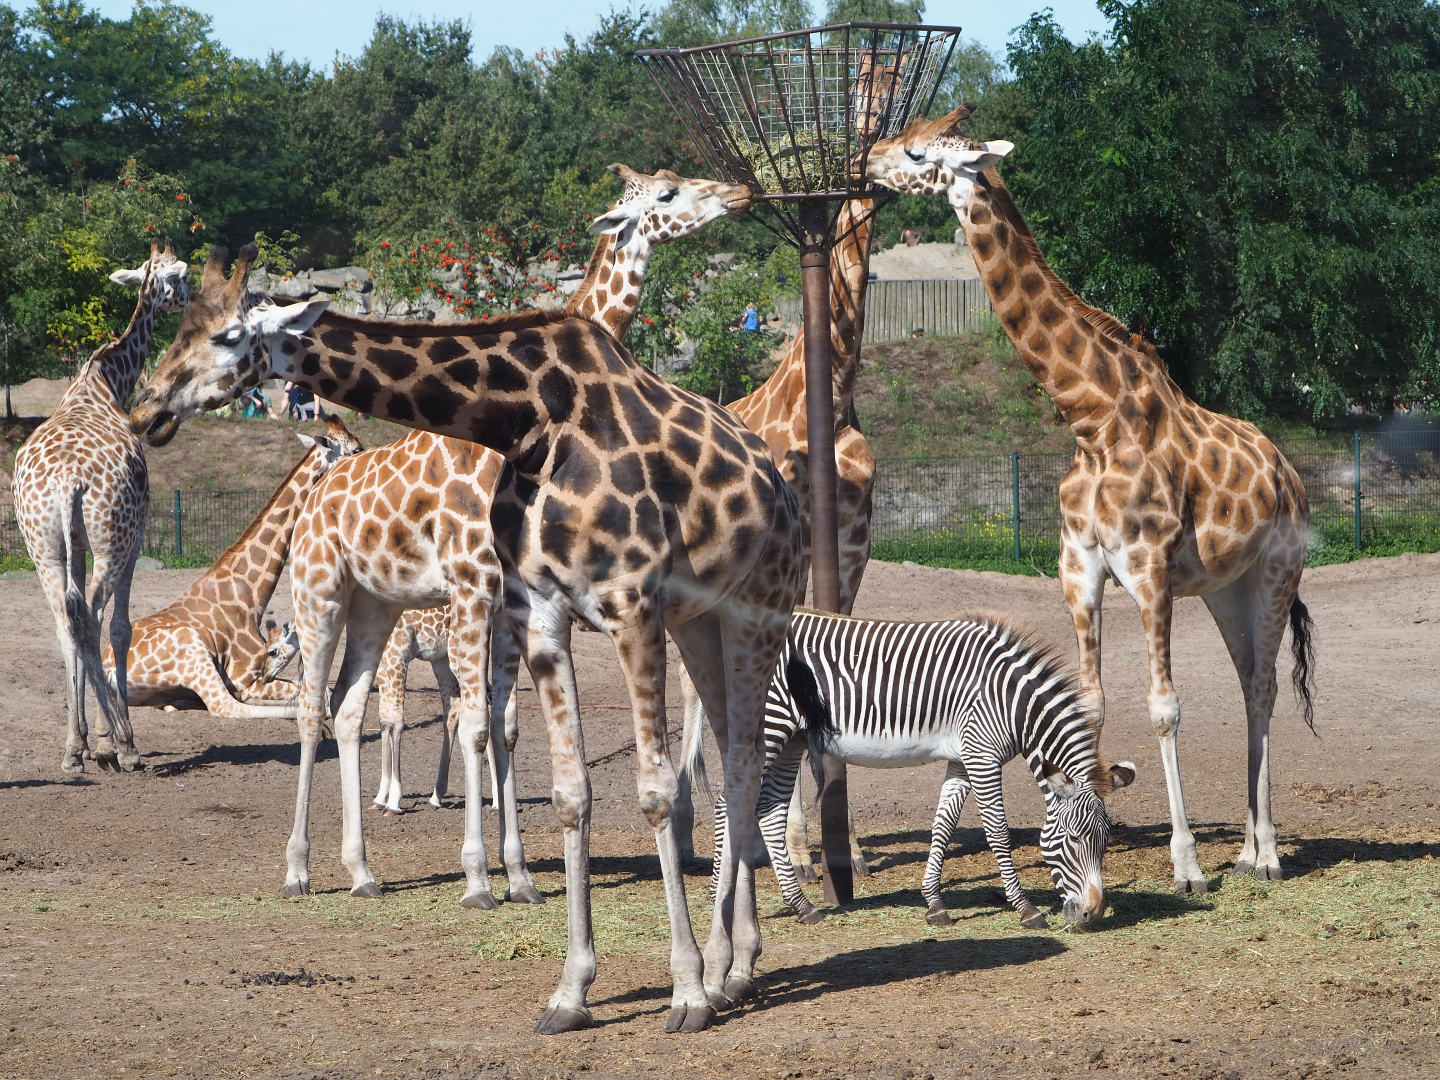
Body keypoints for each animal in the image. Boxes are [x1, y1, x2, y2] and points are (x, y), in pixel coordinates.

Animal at [13, 242, 189, 773]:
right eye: (181, 275)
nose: (188, 298)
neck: (107, 382)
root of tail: (67, 480)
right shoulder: (138, 531)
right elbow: (121, 627)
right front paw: (113, 739)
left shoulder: (74, 540)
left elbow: (72, 629)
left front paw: (88, 740)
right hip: (113, 539)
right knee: (91, 617)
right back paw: (126, 743)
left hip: (42, 543)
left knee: (65, 621)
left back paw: (75, 747)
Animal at [100, 416, 363, 718]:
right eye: (356, 448)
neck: (251, 596)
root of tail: (108, 668)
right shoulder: (246, 677)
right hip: (193, 651)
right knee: (227, 706)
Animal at [130, 243, 802, 1035]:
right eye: (177, 328)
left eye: (227, 335)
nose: (146, 407)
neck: (527, 423)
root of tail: (780, 484)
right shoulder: (540, 611)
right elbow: (569, 790)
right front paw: (571, 991)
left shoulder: (631, 606)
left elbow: (653, 790)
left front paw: (687, 991)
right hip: (694, 619)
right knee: (733, 758)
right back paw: (738, 967)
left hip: (757, 610)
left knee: (742, 760)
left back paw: (728, 972)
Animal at [696, 609, 1136, 929]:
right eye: (1073, 839)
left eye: (1105, 841)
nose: (1093, 915)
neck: (1010, 701)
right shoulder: (982, 756)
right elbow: (997, 831)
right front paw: (1026, 908)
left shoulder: (962, 758)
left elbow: (943, 825)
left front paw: (934, 903)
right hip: (768, 728)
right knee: (727, 803)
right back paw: (721, 895)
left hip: (792, 739)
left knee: (769, 811)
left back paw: (803, 906)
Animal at [864, 106, 1318, 891]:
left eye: (920, 152)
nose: (867, 161)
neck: (1093, 418)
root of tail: (1287, 472)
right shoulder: (1079, 566)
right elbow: (1093, 702)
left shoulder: (1149, 569)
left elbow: (1164, 708)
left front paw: (1187, 865)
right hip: (1224, 589)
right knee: (1248, 683)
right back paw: (1250, 849)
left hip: (1275, 574)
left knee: (1263, 687)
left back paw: (1266, 855)